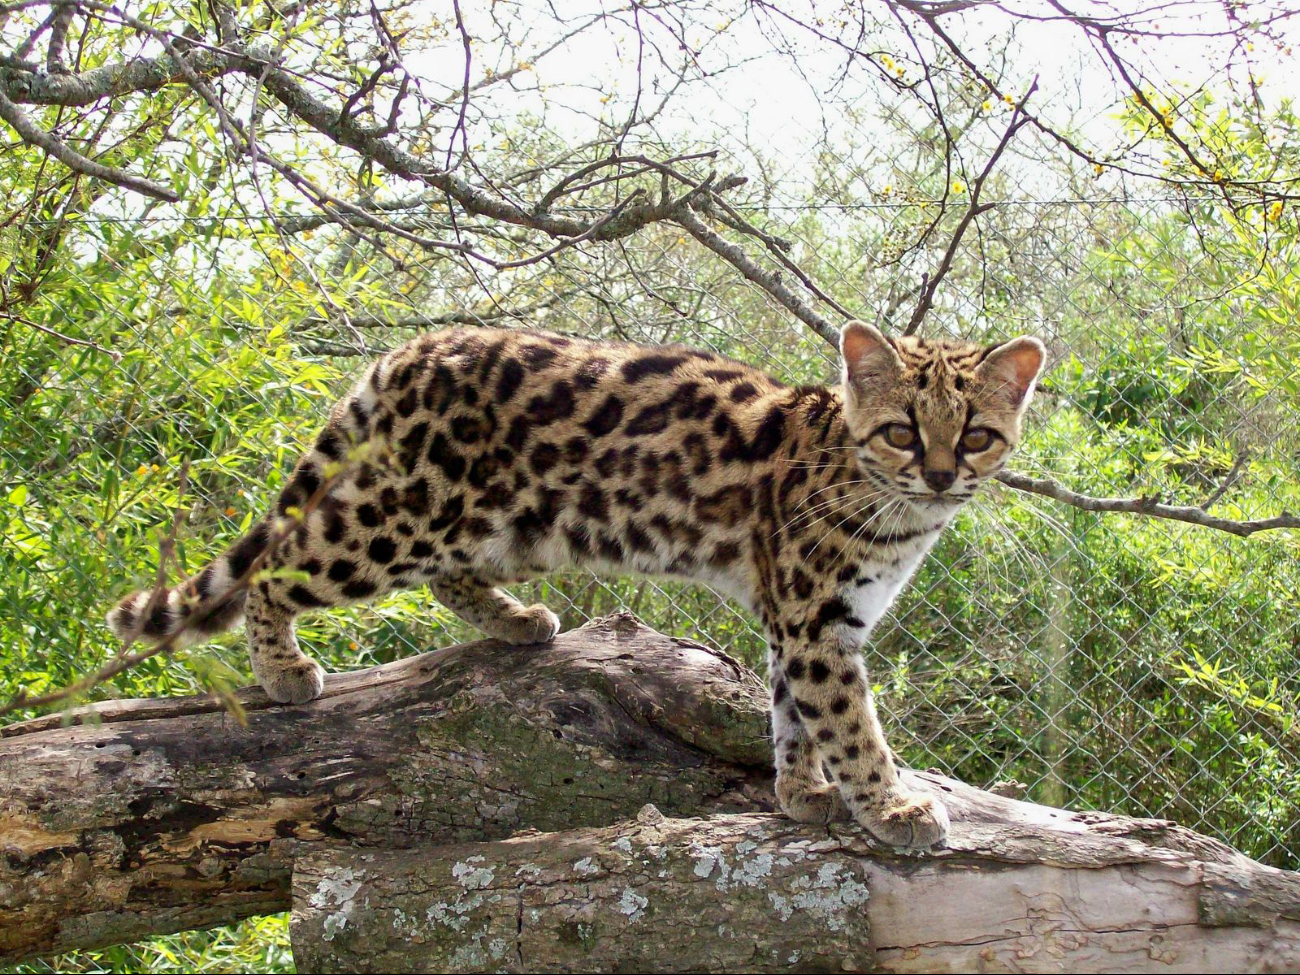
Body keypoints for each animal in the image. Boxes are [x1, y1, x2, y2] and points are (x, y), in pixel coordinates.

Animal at [109, 321, 1045, 847]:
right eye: (902, 431)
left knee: (448, 575)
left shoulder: (804, 619)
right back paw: (282, 669)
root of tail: (412, 350)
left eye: (976, 436)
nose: (939, 475)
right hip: (403, 515)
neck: (895, 505)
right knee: (282, 562)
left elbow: (793, 713)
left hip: (507, 525)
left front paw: (801, 791)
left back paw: (515, 621)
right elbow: (849, 723)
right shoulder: (816, 618)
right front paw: (891, 807)